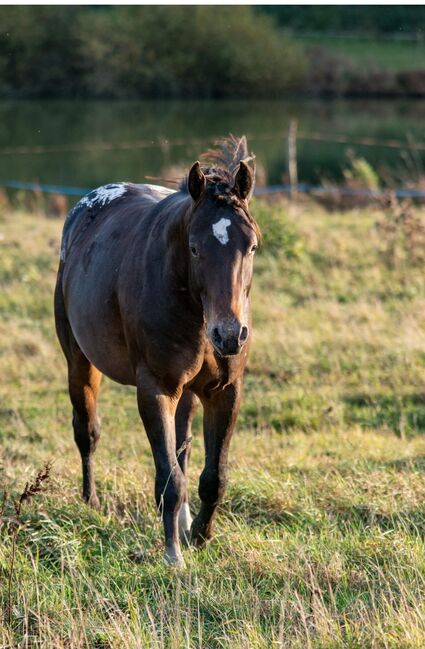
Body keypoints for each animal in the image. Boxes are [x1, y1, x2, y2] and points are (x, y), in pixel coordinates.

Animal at [54, 137, 260, 568]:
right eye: (195, 249)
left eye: (251, 246)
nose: (230, 335)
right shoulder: (156, 389)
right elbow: (169, 479)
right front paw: (172, 555)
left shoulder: (224, 391)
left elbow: (213, 476)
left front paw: (200, 536)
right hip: (79, 361)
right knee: (87, 432)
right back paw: (90, 503)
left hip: (189, 393)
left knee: (183, 444)